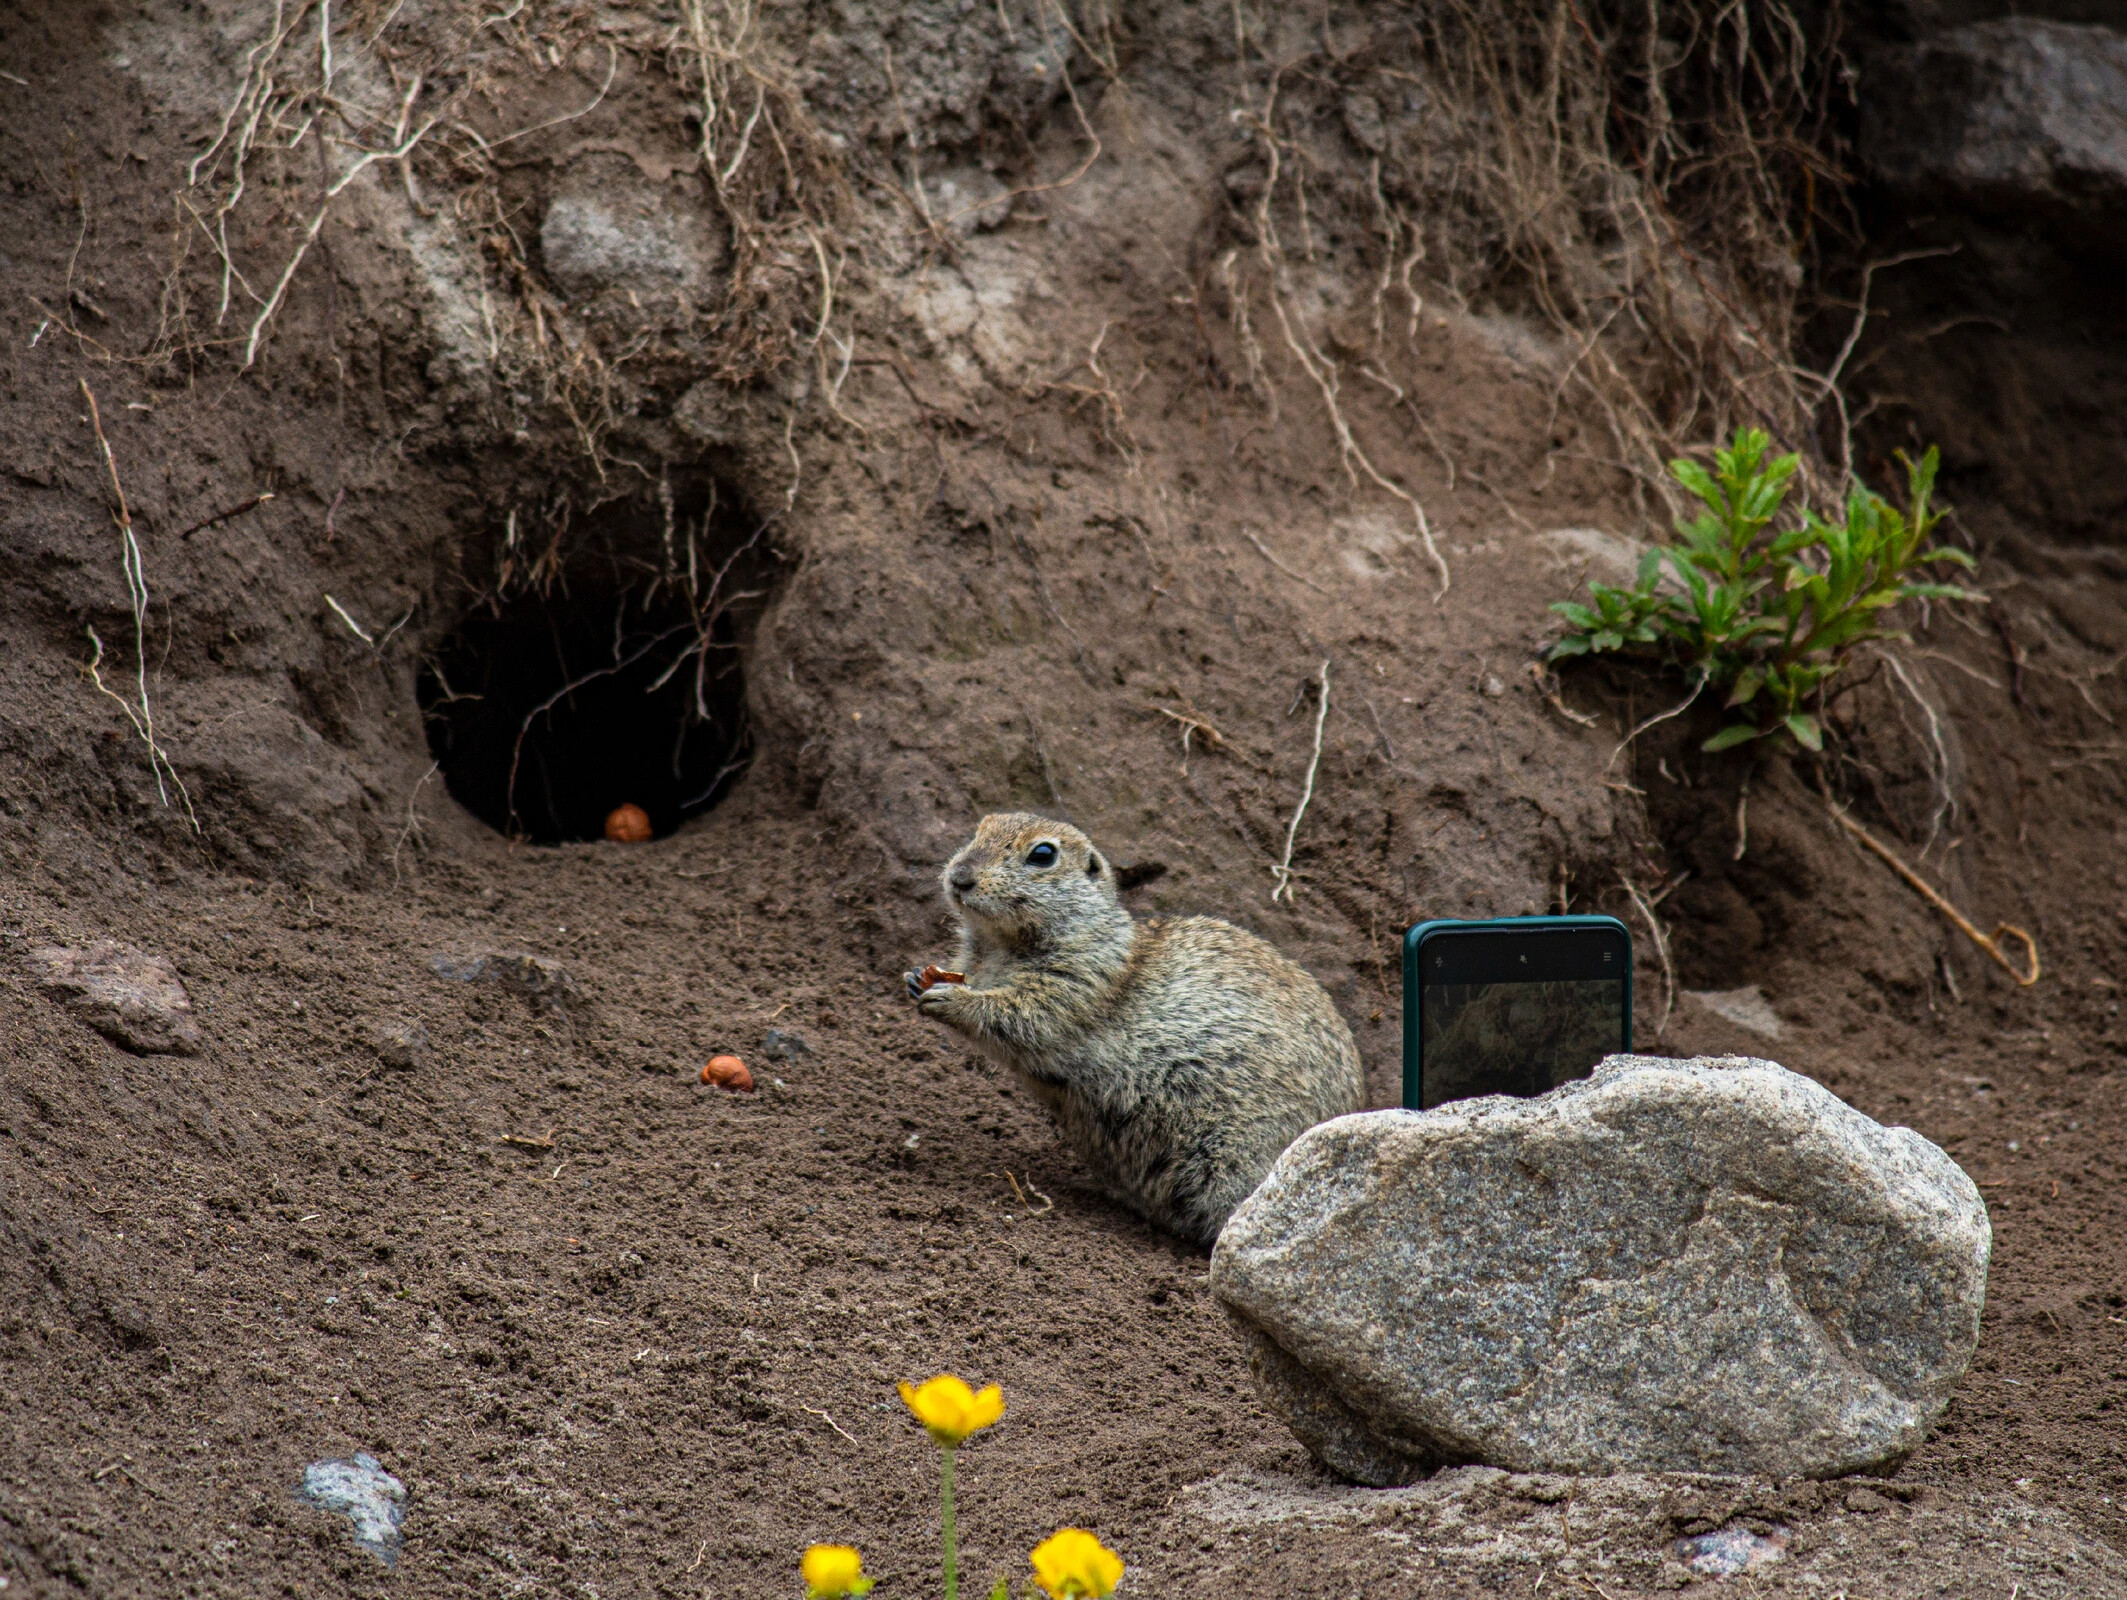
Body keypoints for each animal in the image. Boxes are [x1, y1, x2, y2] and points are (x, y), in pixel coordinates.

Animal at [897, 812, 1361, 1251]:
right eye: (980, 829)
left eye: (1043, 854)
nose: (960, 877)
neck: (1000, 946)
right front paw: (916, 977)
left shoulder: (1079, 981)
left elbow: (1021, 1015)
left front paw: (951, 1000)